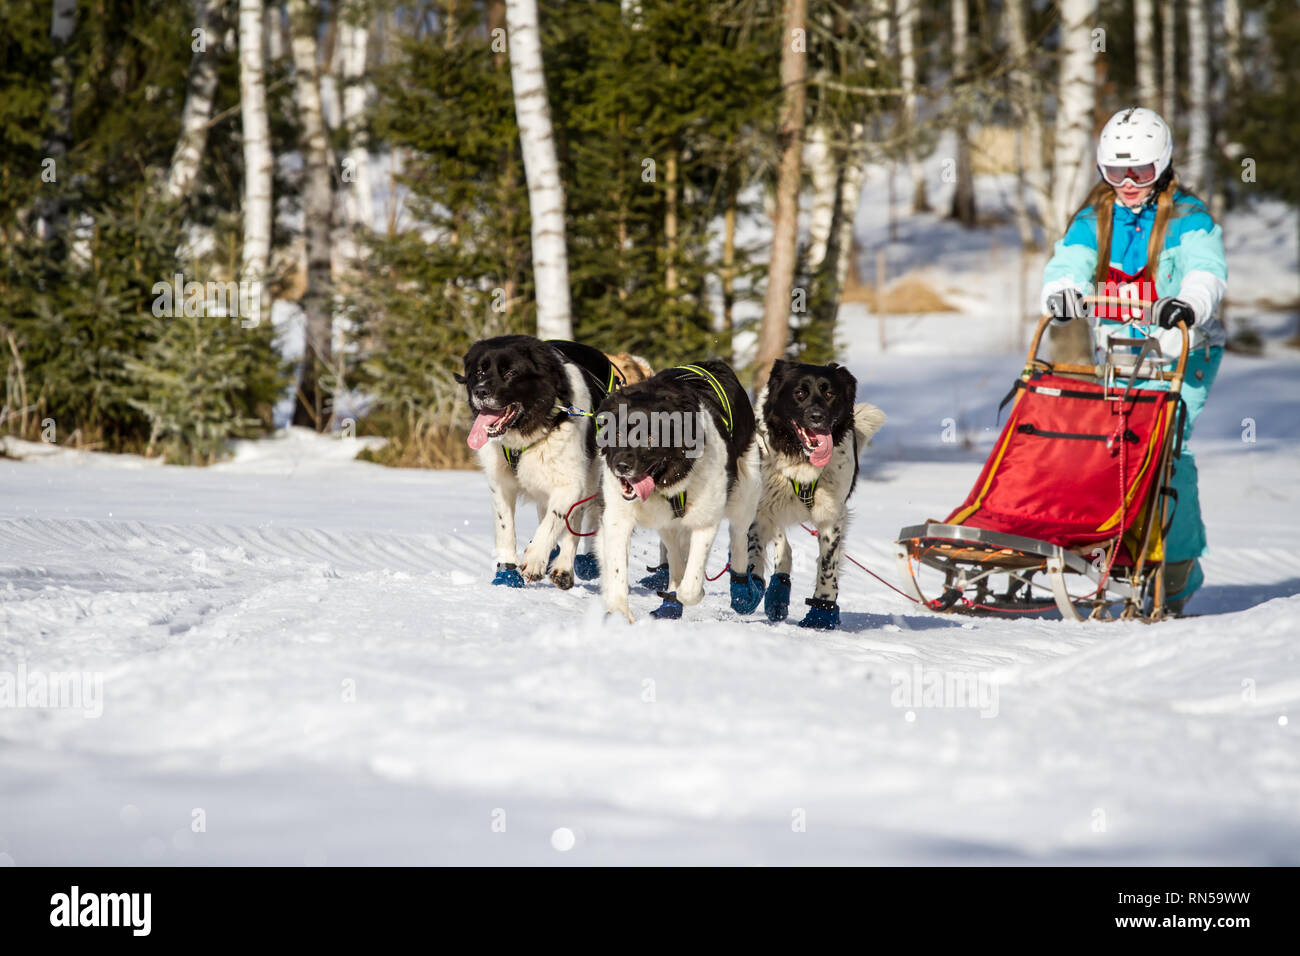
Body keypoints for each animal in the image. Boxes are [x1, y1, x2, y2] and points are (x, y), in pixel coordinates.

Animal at [457, 335, 618, 590]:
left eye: (511, 372)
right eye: (479, 371)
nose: (479, 391)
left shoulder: (571, 483)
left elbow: (555, 520)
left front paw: (535, 560)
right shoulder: (500, 482)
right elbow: (505, 528)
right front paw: (507, 572)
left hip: (591, 475)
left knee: (575, 520)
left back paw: (563, 569)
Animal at [595, 358, 764, 621]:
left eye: (650, 437)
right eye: (618, 432)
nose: (620, 466)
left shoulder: (705, 521)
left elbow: (691, 587)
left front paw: (692, 592)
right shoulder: (617, 516)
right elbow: (616, 569)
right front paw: (619, 616)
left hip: (746, 493)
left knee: (738, 538)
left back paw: (742, 593)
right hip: (667, 523)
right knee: (675, 553)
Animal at [748, 358, 889, 629]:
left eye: (830, 394)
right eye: (800, 393)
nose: (817, 417)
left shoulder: (831, 516)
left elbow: (827, 565)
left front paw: (821, 612)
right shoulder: (761, 510)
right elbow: (755, 549)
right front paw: (748, 589)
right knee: (782, 546)